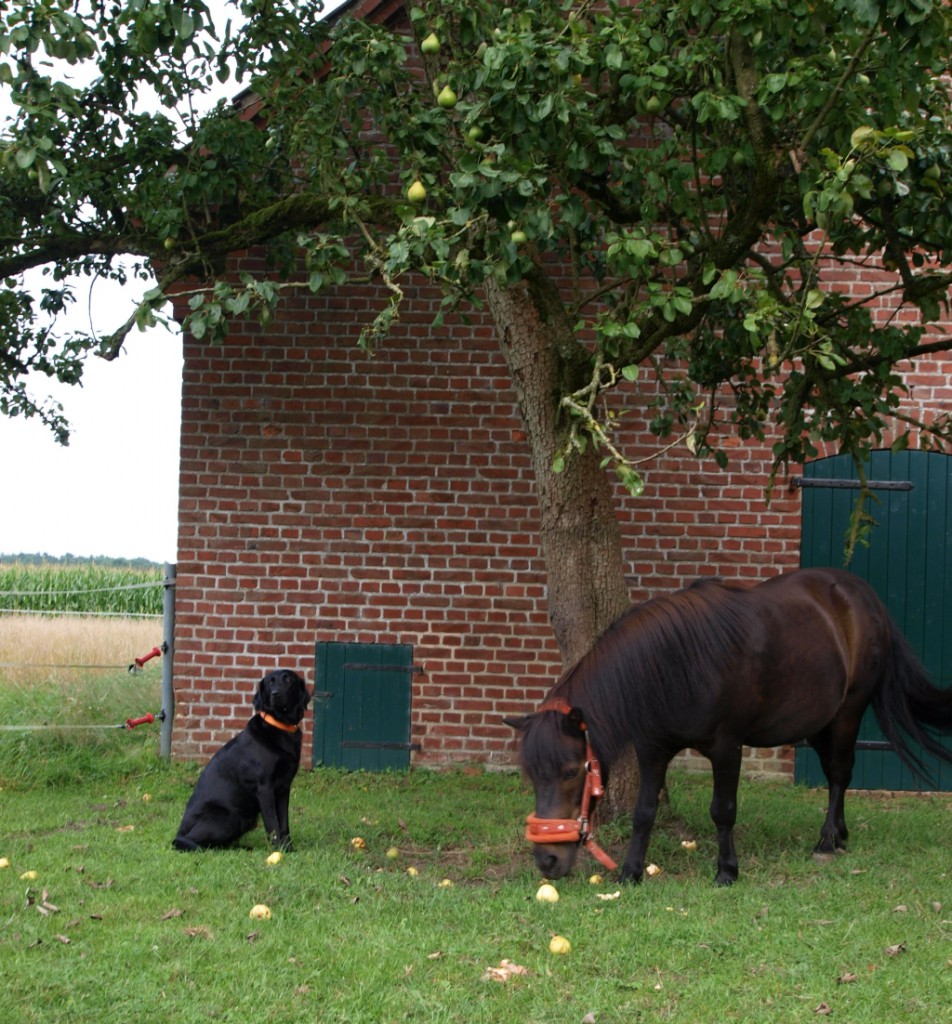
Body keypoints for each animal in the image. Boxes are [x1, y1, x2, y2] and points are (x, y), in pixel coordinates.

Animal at [172, 667, 309, 851]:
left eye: (289, 680)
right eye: (269, 682)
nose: (275, 694)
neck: (281, 727)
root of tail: (179, 833)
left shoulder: (284, 788)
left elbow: (284, 823)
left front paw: (288, 849)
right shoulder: (264, 788)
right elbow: (273, 824)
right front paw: (277, 850)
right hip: (231, 818)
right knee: (200, 844)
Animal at [503, 573, 949, 884]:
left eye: (571, 771)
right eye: (531, 776)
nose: (547, 861)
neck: (675, 664)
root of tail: (862, 595)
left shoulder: (726, 747)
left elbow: (723, 810)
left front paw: (727, 871)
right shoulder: (653, 750)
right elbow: (644, 812)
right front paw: (630, 871)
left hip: (848, 714)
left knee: (840, 775)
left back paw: (826, 842)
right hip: (820, 722)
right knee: (834, 774)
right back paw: (839, 834)